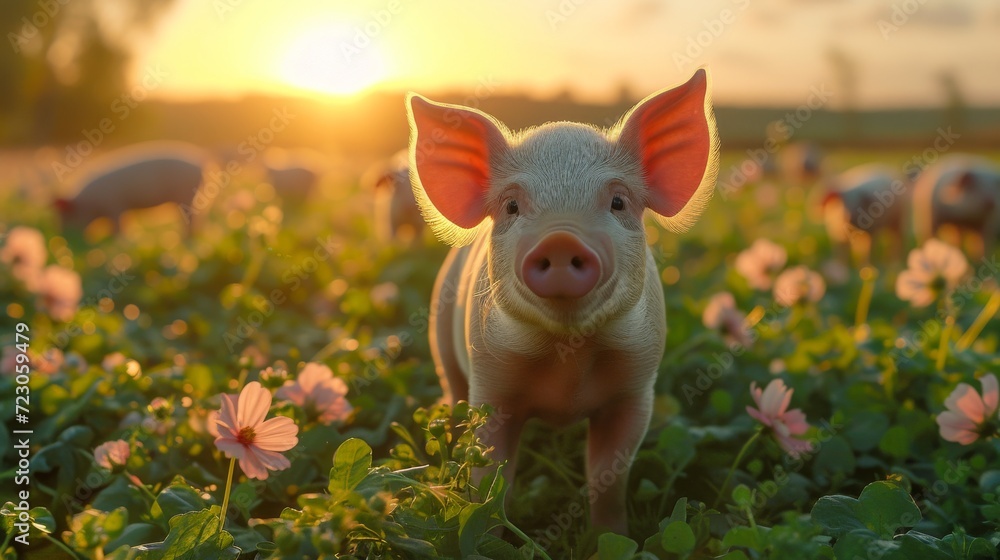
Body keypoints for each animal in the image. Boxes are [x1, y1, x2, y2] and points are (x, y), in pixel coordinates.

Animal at [55, 142, 207, 233]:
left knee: (192, 218)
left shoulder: (114, 206)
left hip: (185, 194)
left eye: (66, 216)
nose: (64, 235)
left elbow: (118, 227)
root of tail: (200, 161)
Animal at [408, 69, 719, 533]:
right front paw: (490, 531)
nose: (560, 239)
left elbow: (608, 475)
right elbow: (491, 475)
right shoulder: (490, 384)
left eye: (618, 201)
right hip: (441, 341)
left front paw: (614, 536)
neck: (568, 357)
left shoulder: (636, 388)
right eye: (512, 205)